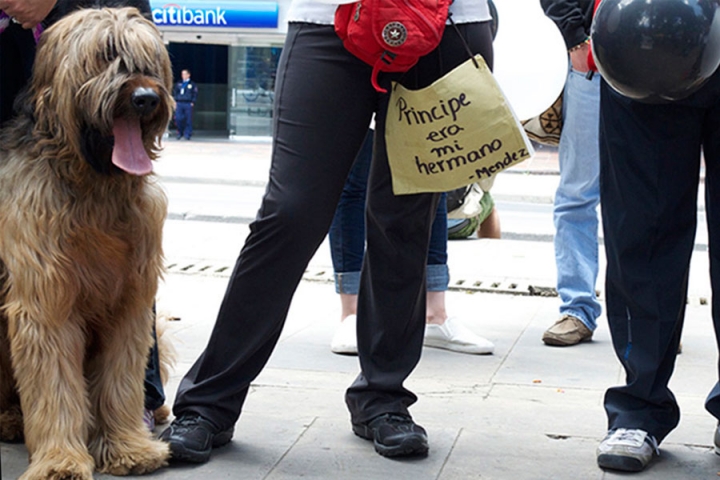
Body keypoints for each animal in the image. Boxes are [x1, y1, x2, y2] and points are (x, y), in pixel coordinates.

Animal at [0, 7, 173, 480]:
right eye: (104, 55)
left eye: (148, 60)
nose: (146, 98)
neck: (95, 184)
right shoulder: (46, 302)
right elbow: (55, 384)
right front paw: (60, 459)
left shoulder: (129, 301)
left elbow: (120, 380)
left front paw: (128, 446)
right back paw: (9, 419)